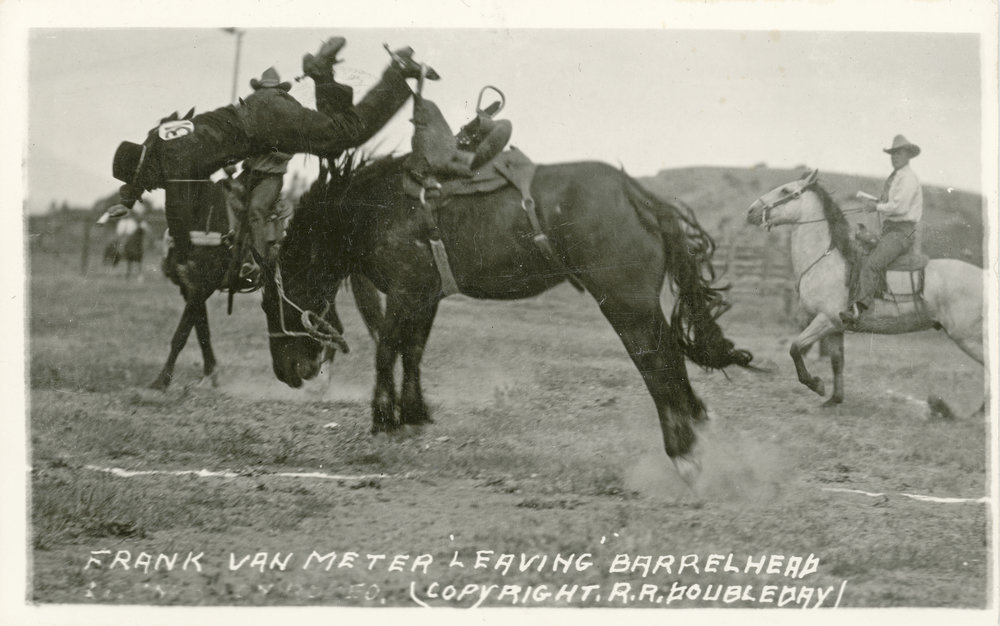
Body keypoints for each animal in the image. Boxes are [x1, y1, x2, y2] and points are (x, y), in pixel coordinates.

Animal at [262, 152, 752, 482]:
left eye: (270, 303)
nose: (285, 373)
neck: (377, 208)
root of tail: (636, 195)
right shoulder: (425, 296)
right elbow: (413, 352)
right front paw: (414, 417)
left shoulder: (404, 292)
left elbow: (386, 351)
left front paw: (384, 421)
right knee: (668, 356)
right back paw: (698, 429)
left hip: (624, 302)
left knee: (655, 360)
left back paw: (684, 452)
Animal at [744, 169, 984, 404]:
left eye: (786, 190)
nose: (751, 211)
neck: (825, 261)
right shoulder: (835, 327)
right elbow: (837, 362)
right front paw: (834, 399)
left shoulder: (825, 319)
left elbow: (795, 348)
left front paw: (816, 384)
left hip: (968, 338)